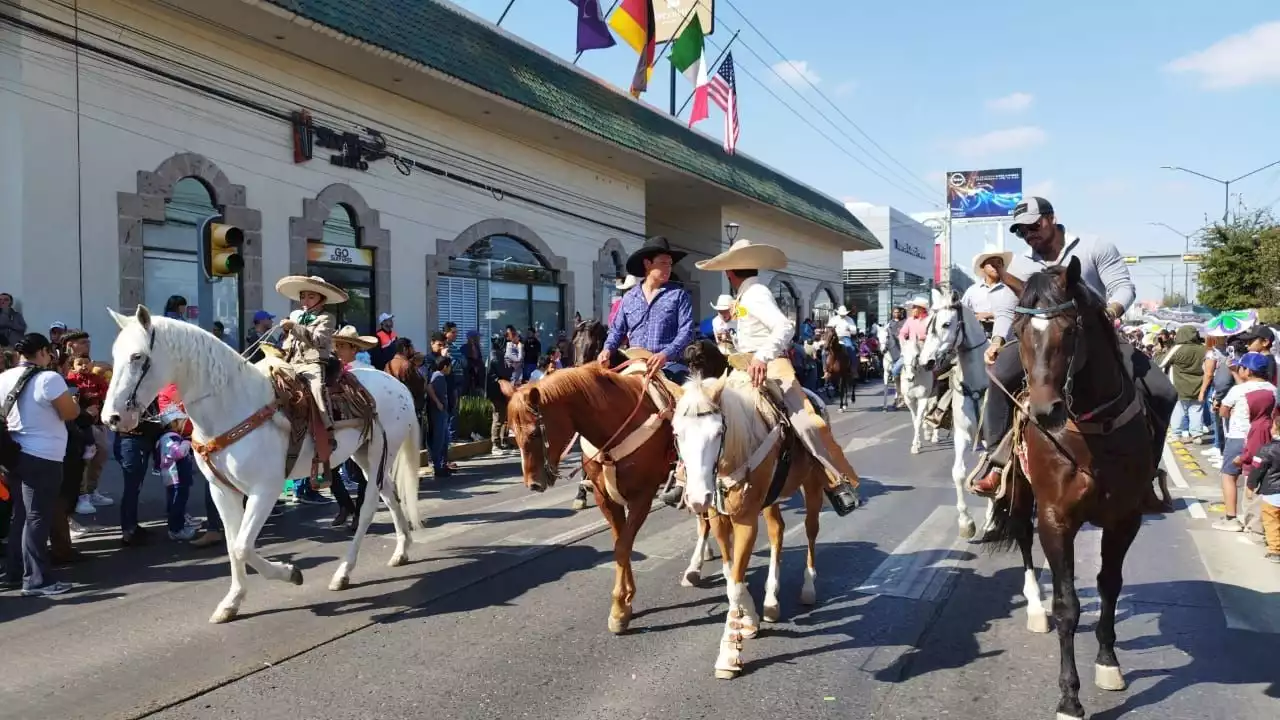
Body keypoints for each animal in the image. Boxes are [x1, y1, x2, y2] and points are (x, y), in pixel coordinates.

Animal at [101, 304, 419, 620]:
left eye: (137, 356)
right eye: (115, 355)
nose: (112, 418)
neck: (231, 407)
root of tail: (399, 386)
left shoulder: (264, 490)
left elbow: (243, 546)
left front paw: (291, 573)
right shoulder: (221, 490)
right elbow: (232, 545)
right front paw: (232, 602)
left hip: (378, 455)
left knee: (368, 509)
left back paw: (343, 573)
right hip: (364, 456)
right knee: (390, 496)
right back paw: (401, 550)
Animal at [499, 361, 680, 630]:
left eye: (534, 433)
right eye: (512, 432)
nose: (533, 484)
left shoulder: (642, 496)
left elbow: (623, 546)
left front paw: (619, 607)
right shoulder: (606, 498)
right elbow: (620, 543)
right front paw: (625, 602)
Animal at [670, 366, 829, 676]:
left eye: (718, 431)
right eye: (676, 433)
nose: (697, 498)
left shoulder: (745, 521)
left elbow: (734, 581)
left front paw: (729, 653)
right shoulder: (720, 519)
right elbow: (731, 573)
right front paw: (749, 619)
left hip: (813, 484)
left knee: (811, 530)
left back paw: (808, 586)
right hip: (772, 497)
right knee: (778, 531)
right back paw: (771, 601)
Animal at [916, 285, 993, 538]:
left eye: (946, 324)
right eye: (928, 325)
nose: (926, 362)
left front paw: (991, 519)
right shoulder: (962, 434)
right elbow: (958, 473)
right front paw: (966, 522)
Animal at [983, 257, 1167, 717]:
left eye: (1070, 330)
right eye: (1018, 332)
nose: (1044, 411)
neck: (1091, 430)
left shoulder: (1124, 518)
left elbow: (1109, 585)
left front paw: (1108, 663)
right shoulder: (1056, 517)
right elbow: (1067, 605)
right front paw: (1069, 696)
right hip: (1021, 491)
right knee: (1022, 536)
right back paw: (1035, 606)